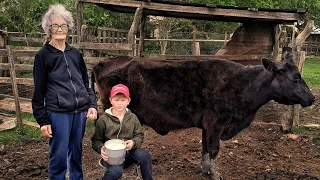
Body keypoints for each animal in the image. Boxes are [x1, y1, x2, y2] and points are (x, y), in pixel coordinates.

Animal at [92, 54, 316, 179]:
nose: (312, 97)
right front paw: (216, 174)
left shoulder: (206, 127)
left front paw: (206, 170)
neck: (244, 85)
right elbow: (214, 149)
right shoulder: (216, 123)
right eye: (296, 77)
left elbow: (205, 149)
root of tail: (105, 61)